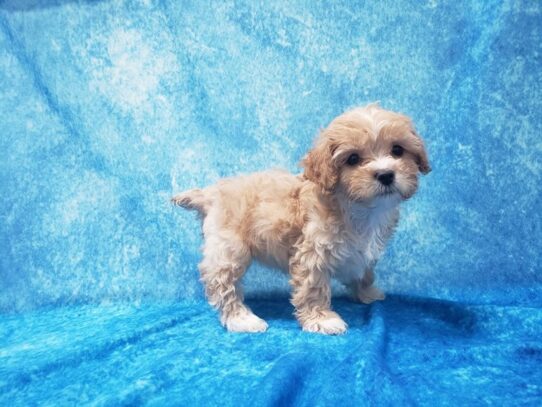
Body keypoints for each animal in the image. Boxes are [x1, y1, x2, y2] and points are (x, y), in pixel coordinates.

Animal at [172, 104, 432, 334]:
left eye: (397, 150)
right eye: (353, 159)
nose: (386, 174)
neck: (359, 208)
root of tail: (210, 193)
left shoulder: (361, 250)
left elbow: (364, 271)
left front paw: (367, 293)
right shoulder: (312, 253)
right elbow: (313, 288)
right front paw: (323, 319)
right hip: (229, 249)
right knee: (222, 284)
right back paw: (241, 319)